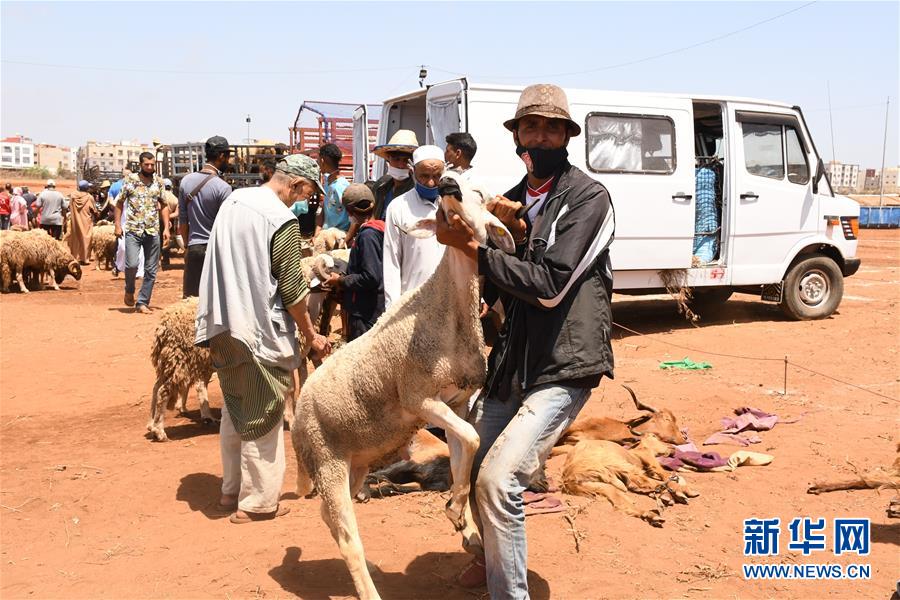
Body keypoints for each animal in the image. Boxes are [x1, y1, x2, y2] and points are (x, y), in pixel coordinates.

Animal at [150, 298, 217, 442]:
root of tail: (164, 324)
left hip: (172, 361)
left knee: (156, 388)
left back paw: (151, 425)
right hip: (182, 358)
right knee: (163, 391)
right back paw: (159, 432)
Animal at [288, 171, 512, 596]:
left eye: (480, 193)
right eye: (450, 186)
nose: (447, 185)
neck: (446, 312)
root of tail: (299, 407)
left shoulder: (456, 403)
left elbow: (463, 451)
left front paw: (463, 522)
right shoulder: (418, 399)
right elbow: (473, 439)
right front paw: (457, 510)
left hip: (354, 460)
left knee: (330, 517)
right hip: (326, 460)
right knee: (346, 536)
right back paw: (369, 589)